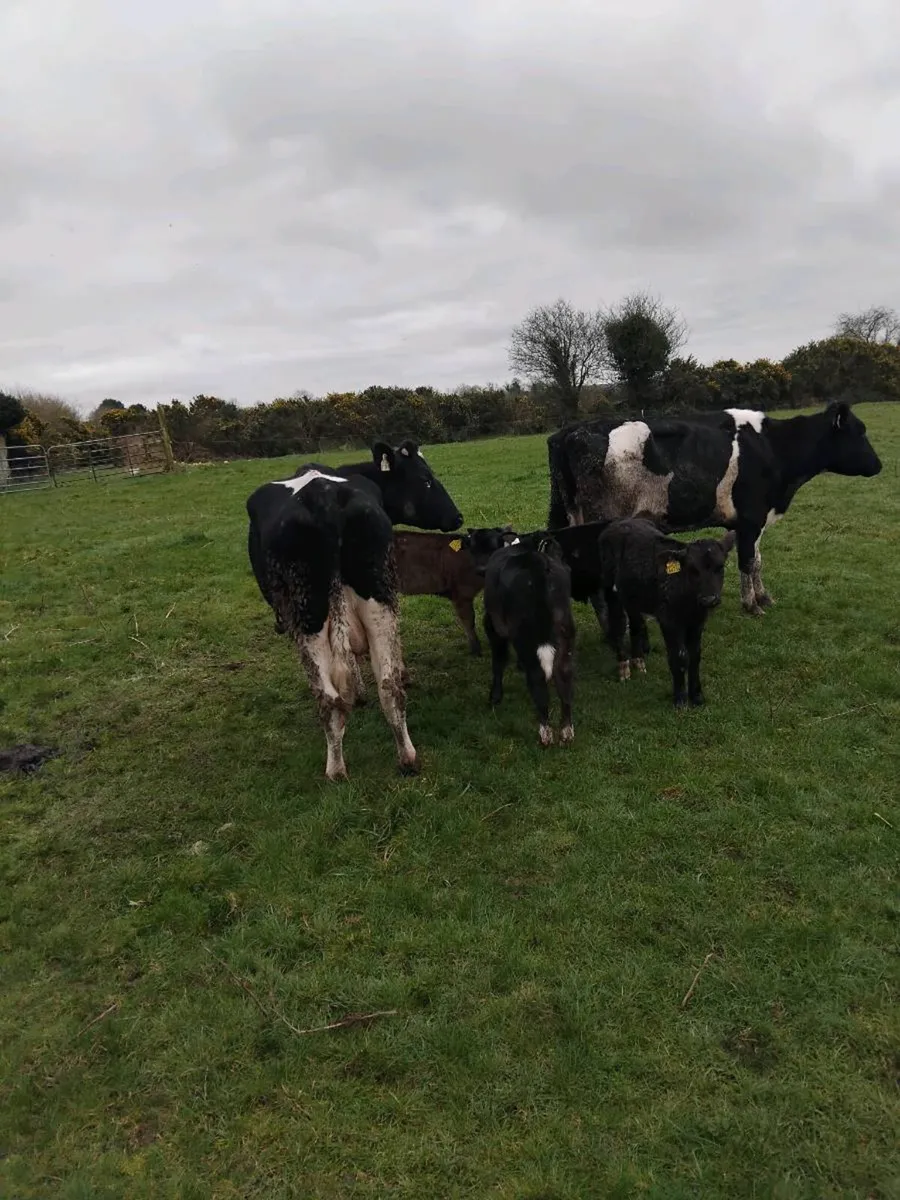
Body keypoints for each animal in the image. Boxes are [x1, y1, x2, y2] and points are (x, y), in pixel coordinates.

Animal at [246, 442, 464, 781]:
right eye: (426, 479)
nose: (457, 516)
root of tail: (322, 498)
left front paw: (359, 692)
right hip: (375, 596)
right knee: (387, 687)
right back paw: (406, 758)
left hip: (309, 614)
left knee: (330, 698)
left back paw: (335, 769)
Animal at [393, 526, 518, 656]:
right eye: (472, 549)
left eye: (495, 547)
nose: (481, 569)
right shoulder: (461, 593)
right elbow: (469, 621)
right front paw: (476, 650)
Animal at [481, 537, 576, 747]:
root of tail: (536, 563)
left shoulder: (493, 625)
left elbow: (498, 661)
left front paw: (495, 697)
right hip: (565, 632)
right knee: (564, 677)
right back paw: (566, 731)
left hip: (526, 639)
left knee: (537, 679)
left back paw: (545, 734)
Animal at [547, 402, 882, 616]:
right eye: (860, 432)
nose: (879, 465)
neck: (772, 448)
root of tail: (568, 432)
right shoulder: (751, 518)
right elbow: (747, 562)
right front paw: (752, 605)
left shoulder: (750, 522)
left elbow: (757, 561)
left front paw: (764, 597)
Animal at [597, 518, 736, 707]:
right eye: (692, 570)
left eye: (720, 567)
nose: (709, 599)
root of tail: (620, 522)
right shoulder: (668, 620)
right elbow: (679, 656)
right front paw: (680, 699)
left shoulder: (697, 622)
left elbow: (695, 656)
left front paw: (697, 696)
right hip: (611, 590)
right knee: (617, 623)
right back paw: (624, 666)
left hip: (632, 596)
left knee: (635, 624)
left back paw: (638, 661)